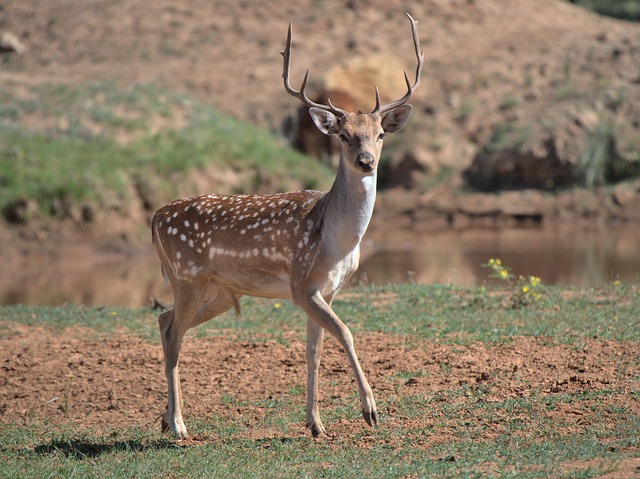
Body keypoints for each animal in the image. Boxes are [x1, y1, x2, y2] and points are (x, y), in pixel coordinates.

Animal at [151, 13, 424, 440]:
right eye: (344, 135)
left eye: (380, 134)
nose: (366, 160)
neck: (336, 241)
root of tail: (154, 216)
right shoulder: (301, 284)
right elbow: (346, 333)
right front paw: (370, 411)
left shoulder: (326, 290)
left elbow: (314, 351)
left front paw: (316, 424)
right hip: (187, 276)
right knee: (174, 335)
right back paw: (179, 426)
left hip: (217, 290)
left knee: (164, 322)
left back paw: (166, 420)